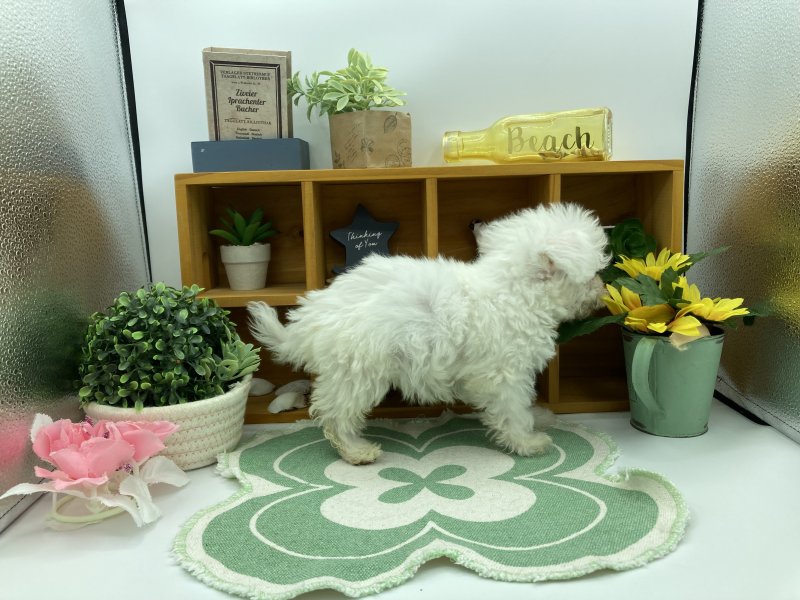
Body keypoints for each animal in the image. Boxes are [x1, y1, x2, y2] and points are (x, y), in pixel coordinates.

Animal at [248, 202, 609, 465]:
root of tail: (313, 316)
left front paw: (538, 417)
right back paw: (356, 451)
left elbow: (523, 404)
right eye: (593, 273)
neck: (514, 291)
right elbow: (513, 409)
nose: (603, 289)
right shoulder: (505, 373)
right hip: (359, 369)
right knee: (336, 415)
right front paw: (528, 441)